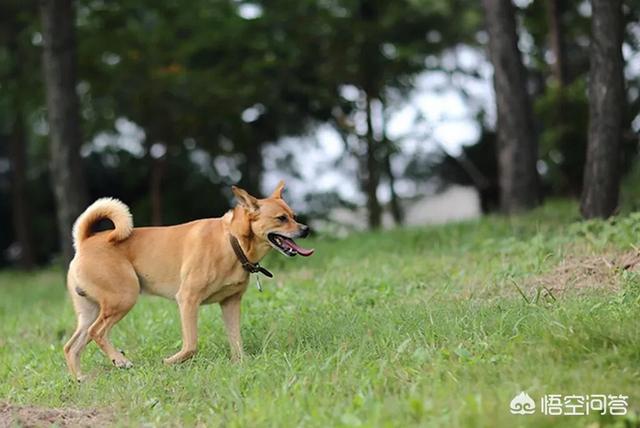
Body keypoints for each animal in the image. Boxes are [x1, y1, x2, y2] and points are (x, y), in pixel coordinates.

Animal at [63, 180, 312, 378]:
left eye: (294, 217)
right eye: (281, 219)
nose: (306, 229)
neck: (231, 240)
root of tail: (85, 241)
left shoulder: (230, 303)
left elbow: (236, 340)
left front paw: (241, 364)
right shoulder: (188, 300)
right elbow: (191, 345)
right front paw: (169, 362)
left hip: (91, 311)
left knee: (71, 346)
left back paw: (81, 379)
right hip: (123, 298)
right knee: (97, 332)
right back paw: (120, 360)